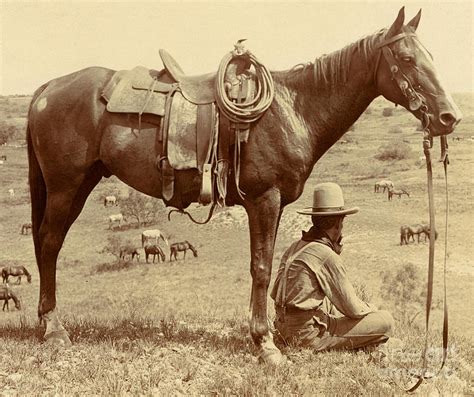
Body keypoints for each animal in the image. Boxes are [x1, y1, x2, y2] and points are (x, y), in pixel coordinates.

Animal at [23, 8, 462, 362]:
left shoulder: (276, 203)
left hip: (80, 185)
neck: (293, 109)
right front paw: (265, 344)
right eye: (407, 58)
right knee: (49, 243)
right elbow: (262, 268)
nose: (448, 117)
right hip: (65, 186)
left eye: (431, 56)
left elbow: (267, 265)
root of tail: (46, 89)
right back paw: (54, 329)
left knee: (47, 244)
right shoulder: (264, 200)